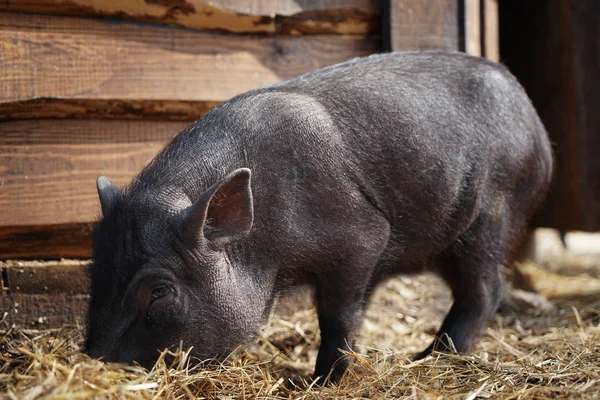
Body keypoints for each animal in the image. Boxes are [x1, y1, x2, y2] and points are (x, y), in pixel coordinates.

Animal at [85, 51, 552, 382]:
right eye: (95, 273)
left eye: (159, 292)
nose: (96, 361)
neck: (267, 246)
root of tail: (537, 127)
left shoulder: (363, 237)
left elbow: (338, 316)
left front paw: (319, 382)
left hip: (494, 212)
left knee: (486, 289)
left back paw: (430, 356)